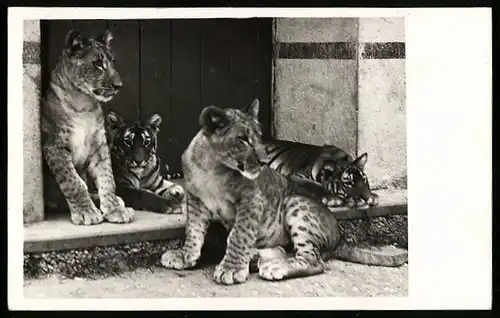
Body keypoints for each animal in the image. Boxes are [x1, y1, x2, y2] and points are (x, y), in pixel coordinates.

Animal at [41, 28, 135, 225]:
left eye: (113, 61)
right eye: (97, 63)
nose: (119, 86)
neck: (84, 104)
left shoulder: (99, 146)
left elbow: (107, 179)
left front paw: (114, 209)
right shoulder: (54, 147)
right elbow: (73, 182)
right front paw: (86, 212)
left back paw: (119, 202)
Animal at [160, 99, 406, 284]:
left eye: (259, 137)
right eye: (242, 139)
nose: (264, 161)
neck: (212, 168)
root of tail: (340, 237)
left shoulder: (252, 200)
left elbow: (239, 234)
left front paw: (231, 269)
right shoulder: (196, 201)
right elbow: (193, 231)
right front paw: (185, 256)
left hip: (295, 205)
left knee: (314, 260)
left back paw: (274, 267)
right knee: (281, 250)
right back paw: (257, 258)